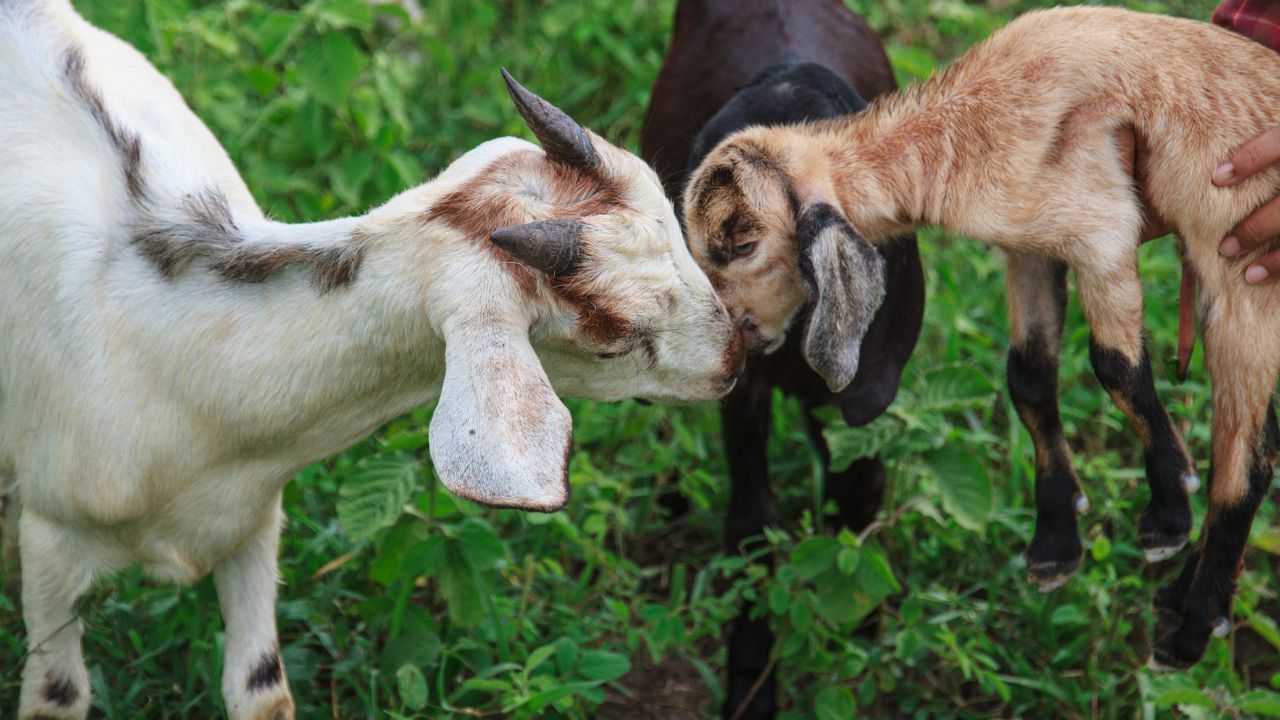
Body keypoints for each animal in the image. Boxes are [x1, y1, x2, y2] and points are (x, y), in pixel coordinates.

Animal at [0, 2, 743, 718]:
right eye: (612, 337)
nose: (732, 360)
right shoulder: (53, 536)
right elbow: (57, 699)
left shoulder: (249, 521)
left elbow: (263, 690)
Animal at [642, 2, 922, 718]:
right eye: (681, 229)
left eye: (746, 240)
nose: (704, 327)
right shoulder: (747, 390)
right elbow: (752, 523)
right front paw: (750, 685)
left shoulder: (861, 380)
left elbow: (860, 482)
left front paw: (864, 642)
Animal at [684, 5, 1280, 670]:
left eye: (743, 243)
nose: (724, 334)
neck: (962, 130)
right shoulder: (1035, 244)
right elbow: (1028, 376)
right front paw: (1056, 543)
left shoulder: (1105, 229)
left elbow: (1114, 365)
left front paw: (1169, 511)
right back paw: (1183, 599)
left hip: (1244, 277)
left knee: (1245, 467)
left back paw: (1191, 629)